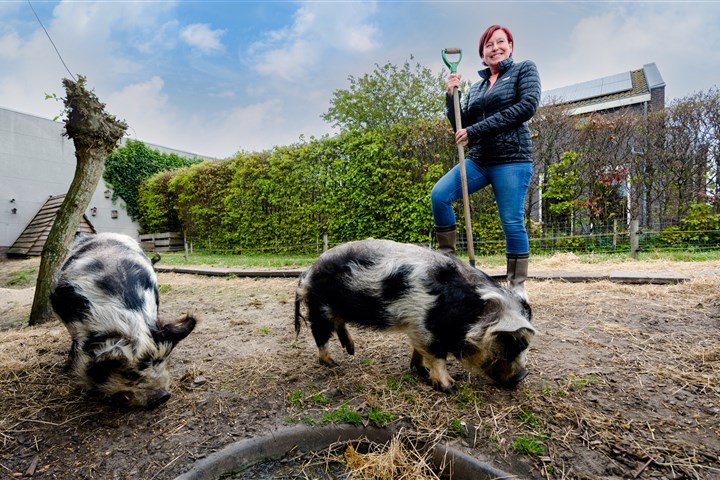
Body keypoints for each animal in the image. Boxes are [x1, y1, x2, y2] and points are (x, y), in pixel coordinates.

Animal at [292, 240, 536, 394]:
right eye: (509, 342)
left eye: (524, 345)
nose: (523, 376)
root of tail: (308, 271)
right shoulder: (424, 325)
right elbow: (437, 356)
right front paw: (450, 388)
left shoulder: (419, 327)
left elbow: (419, 351)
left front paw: (421, 371)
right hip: (320, 307)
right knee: (320, 334)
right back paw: (333, 364)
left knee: (339, 324)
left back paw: (351, 350)